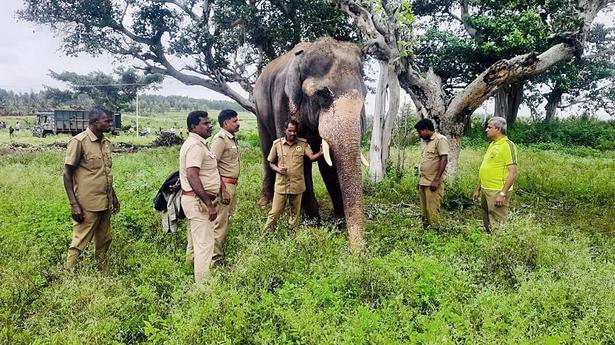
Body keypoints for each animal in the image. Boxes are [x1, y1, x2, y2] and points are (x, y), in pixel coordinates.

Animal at [254, 36, 368, 249]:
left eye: (364, 94)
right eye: (323, 94)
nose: (358, 251)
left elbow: (327, 164)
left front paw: (338, 222)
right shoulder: (282, 102)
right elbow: (302, 164)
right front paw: (313, 222)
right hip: (259, 108)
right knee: (266, 150)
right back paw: (264, 203)